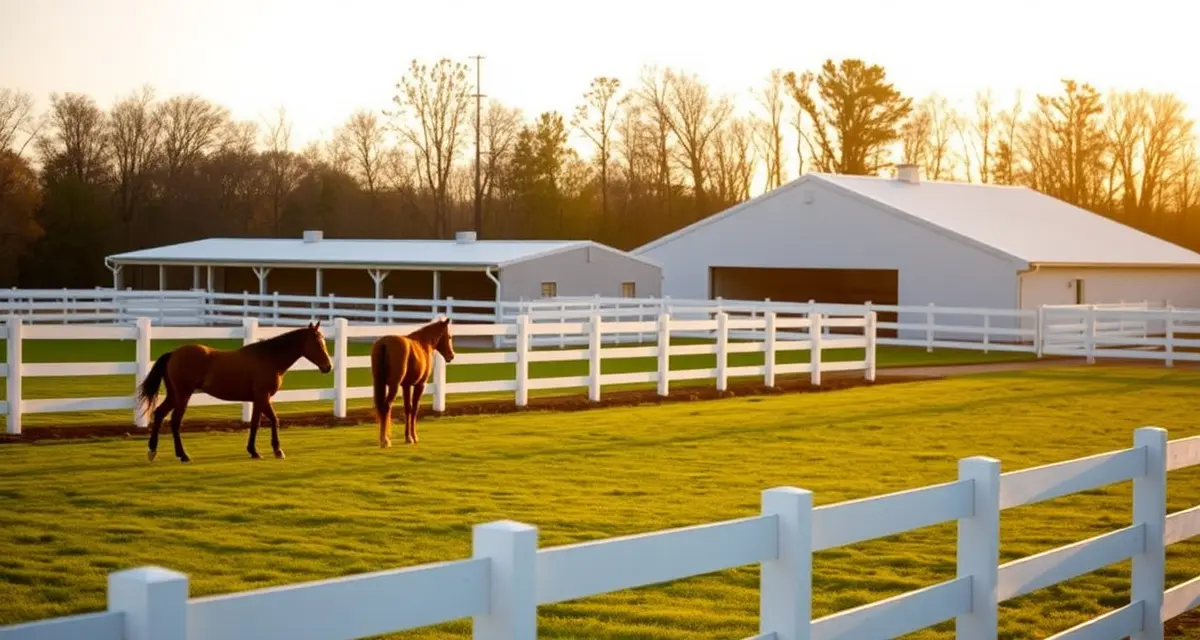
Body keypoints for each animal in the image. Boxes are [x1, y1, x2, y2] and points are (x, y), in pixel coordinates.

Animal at [134, 321, 333, 463]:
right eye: (317, 342)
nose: (328, 366)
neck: (269, 358)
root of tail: (174, 353)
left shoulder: (258, 400)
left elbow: (256, 423)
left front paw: (254, 451)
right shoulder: (263, 397)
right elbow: (272, 420)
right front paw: (276, 450)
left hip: (174, 395)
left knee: (159, 414)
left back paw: (152, 451)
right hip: (183, 395)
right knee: (175, 421)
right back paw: (183, 455)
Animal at [369, 317, 456, 448]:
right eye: (449, 337)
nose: (451, 356)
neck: (423, 344)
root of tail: (384, 343)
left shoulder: (406, 385)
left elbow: (407, 408)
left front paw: (408, 437)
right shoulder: (420, 385)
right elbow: (414, 408)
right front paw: (414, 437)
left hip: (380, 383)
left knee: (382, 408)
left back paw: (383, 438)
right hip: (394, 385)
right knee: (386, 406)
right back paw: (385, 440)